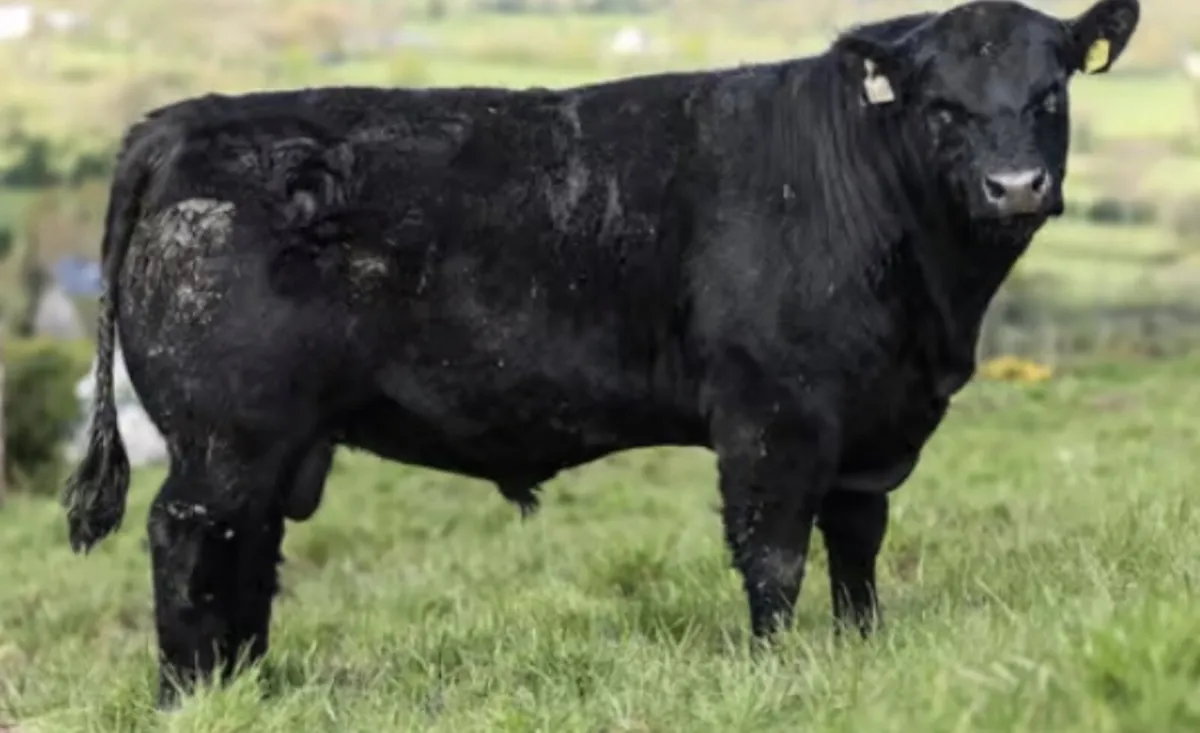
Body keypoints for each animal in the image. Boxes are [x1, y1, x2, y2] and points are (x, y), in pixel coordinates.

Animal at [62, 0, 1139, 708]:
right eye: (942, 105)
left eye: (1051, 94)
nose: (1016, 185)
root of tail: (186, 118)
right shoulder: (772, 414)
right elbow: (774, 553)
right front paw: (778, 671)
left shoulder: (871, 423)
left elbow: (857, 546)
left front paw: (860, 650)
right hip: (226, 435)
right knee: (188, 541)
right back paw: (189, 698)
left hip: (275, 445)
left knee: (246, 555)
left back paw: (250, 688)